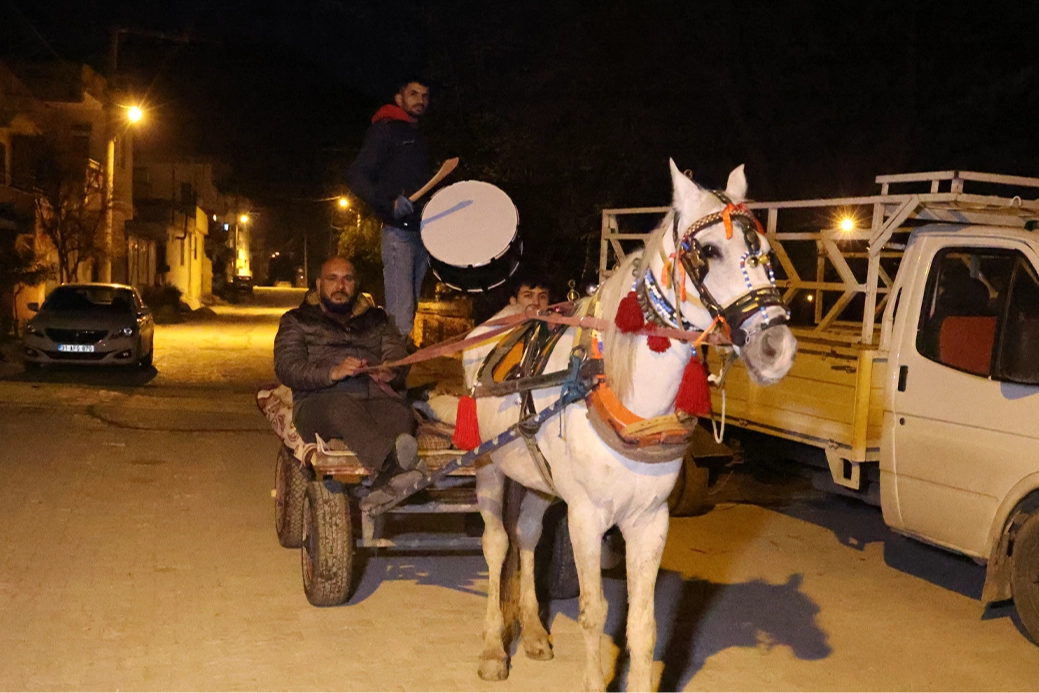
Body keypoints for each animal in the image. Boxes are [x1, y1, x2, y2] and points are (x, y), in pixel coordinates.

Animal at [462, 160, 797, 693]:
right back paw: (495, 648)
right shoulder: (585, 517)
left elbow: (643, 624)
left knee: (528, 537)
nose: (777, 348)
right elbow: (594, 613)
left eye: (765, 251)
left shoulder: (650, 521)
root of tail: (498, 320)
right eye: (708, 251)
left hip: (536, 479)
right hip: (488, 465)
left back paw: (532, 632)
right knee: (496, 545)